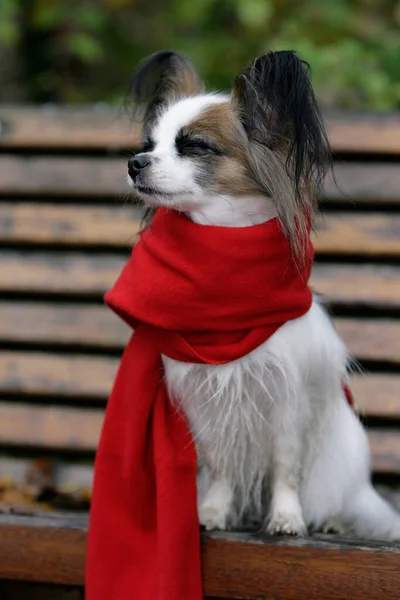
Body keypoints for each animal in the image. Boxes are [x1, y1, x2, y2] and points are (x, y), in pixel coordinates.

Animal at [126, 50, 400, 540]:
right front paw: (212, 512)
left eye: (194, 146)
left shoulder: (286, 401)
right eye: (149, 143)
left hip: (340, 465)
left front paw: (286, 518)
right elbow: (220, 468)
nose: (135, 162)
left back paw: (330, 521)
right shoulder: (206, 402)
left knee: (338, 500)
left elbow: (284, 468)